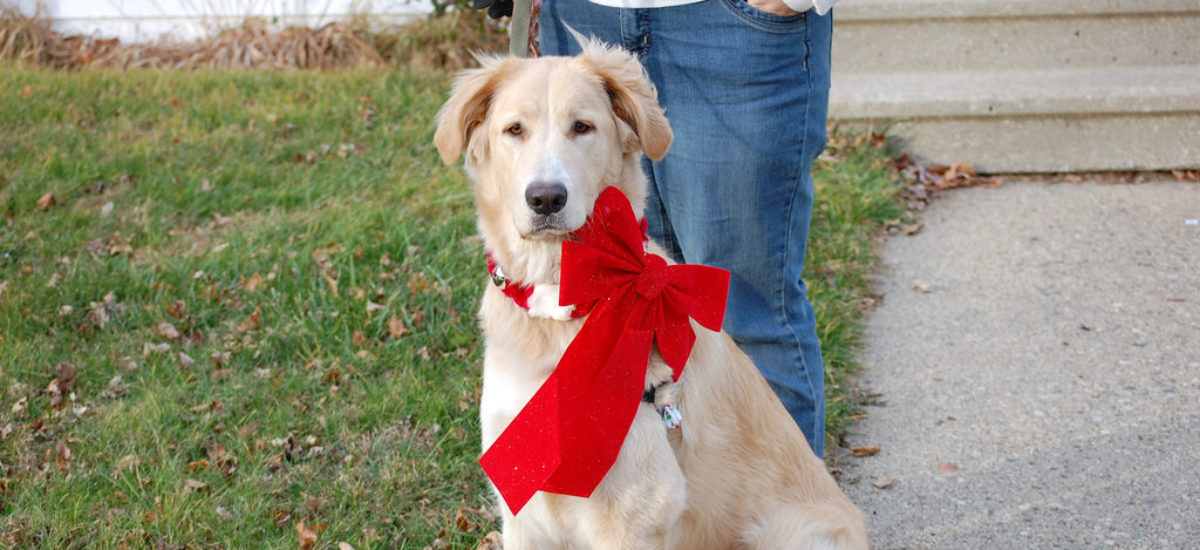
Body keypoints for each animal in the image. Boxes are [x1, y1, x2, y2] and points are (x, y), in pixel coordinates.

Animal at [436, 38, 868, 550]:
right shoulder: (525, 515)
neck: (562, 298)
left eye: (582, 127)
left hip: (788, 531)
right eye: (514, 130)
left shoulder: (634, 515)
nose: (545, 198)